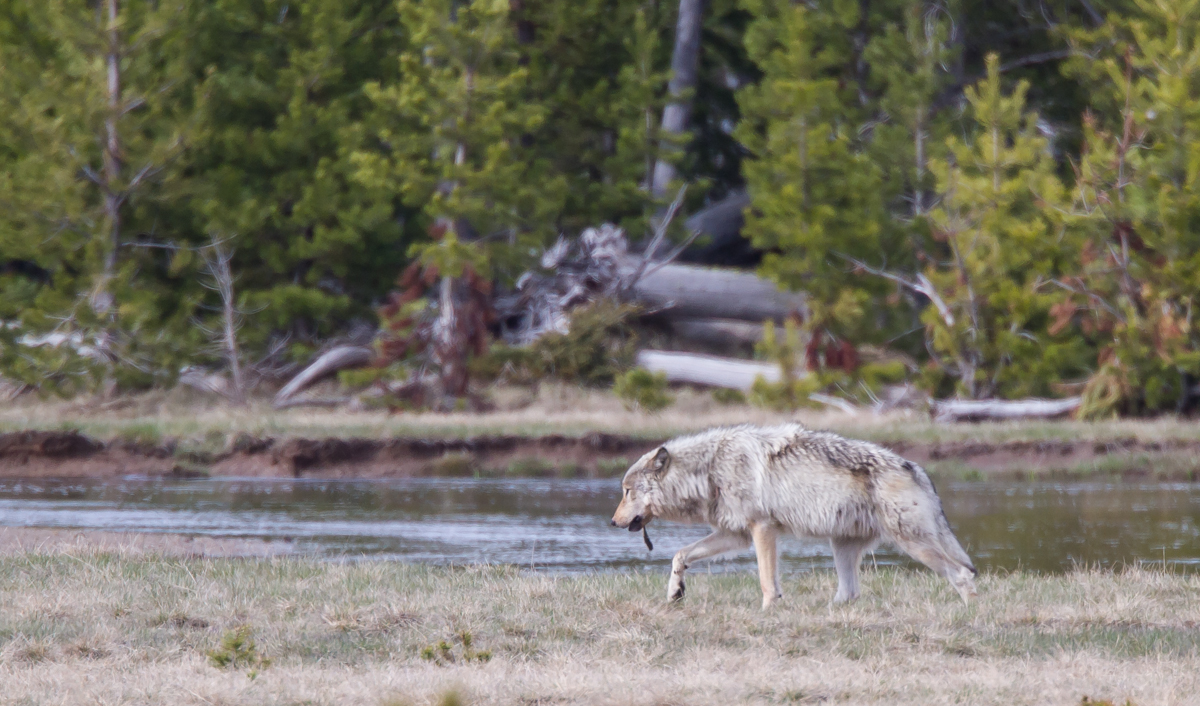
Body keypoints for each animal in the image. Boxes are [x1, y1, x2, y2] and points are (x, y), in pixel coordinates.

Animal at [609, 423, 977, 609]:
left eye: (626, 491)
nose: (612, 522)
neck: (709, 470)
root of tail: (916, 468)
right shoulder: (736, 534)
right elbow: (679, 555)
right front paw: (675, 592)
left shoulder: (762, 528)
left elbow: (766, 580)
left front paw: (767, 611)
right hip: (841, 548)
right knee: (849, 594)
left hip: (913, 544)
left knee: (963, 574)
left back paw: (971, 613)